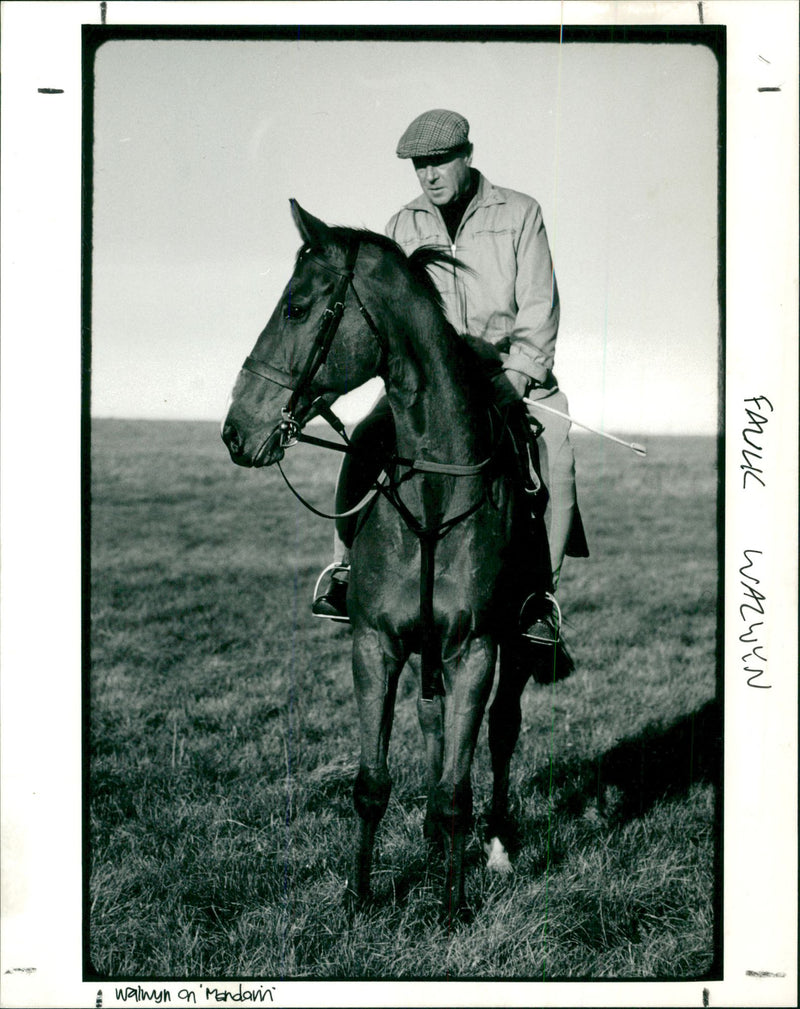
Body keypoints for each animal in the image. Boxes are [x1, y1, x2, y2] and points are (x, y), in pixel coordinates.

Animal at [221, 200, 552, 920]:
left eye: (295, 306)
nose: (235, 430)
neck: (432, 489)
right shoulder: (375, 643)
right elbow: (372, 783)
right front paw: (358, 894)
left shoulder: (475, 648)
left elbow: (457, 788)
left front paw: (453, 905)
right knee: (431, 725)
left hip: (513, 648)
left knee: (503, 730)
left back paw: (496, 847)